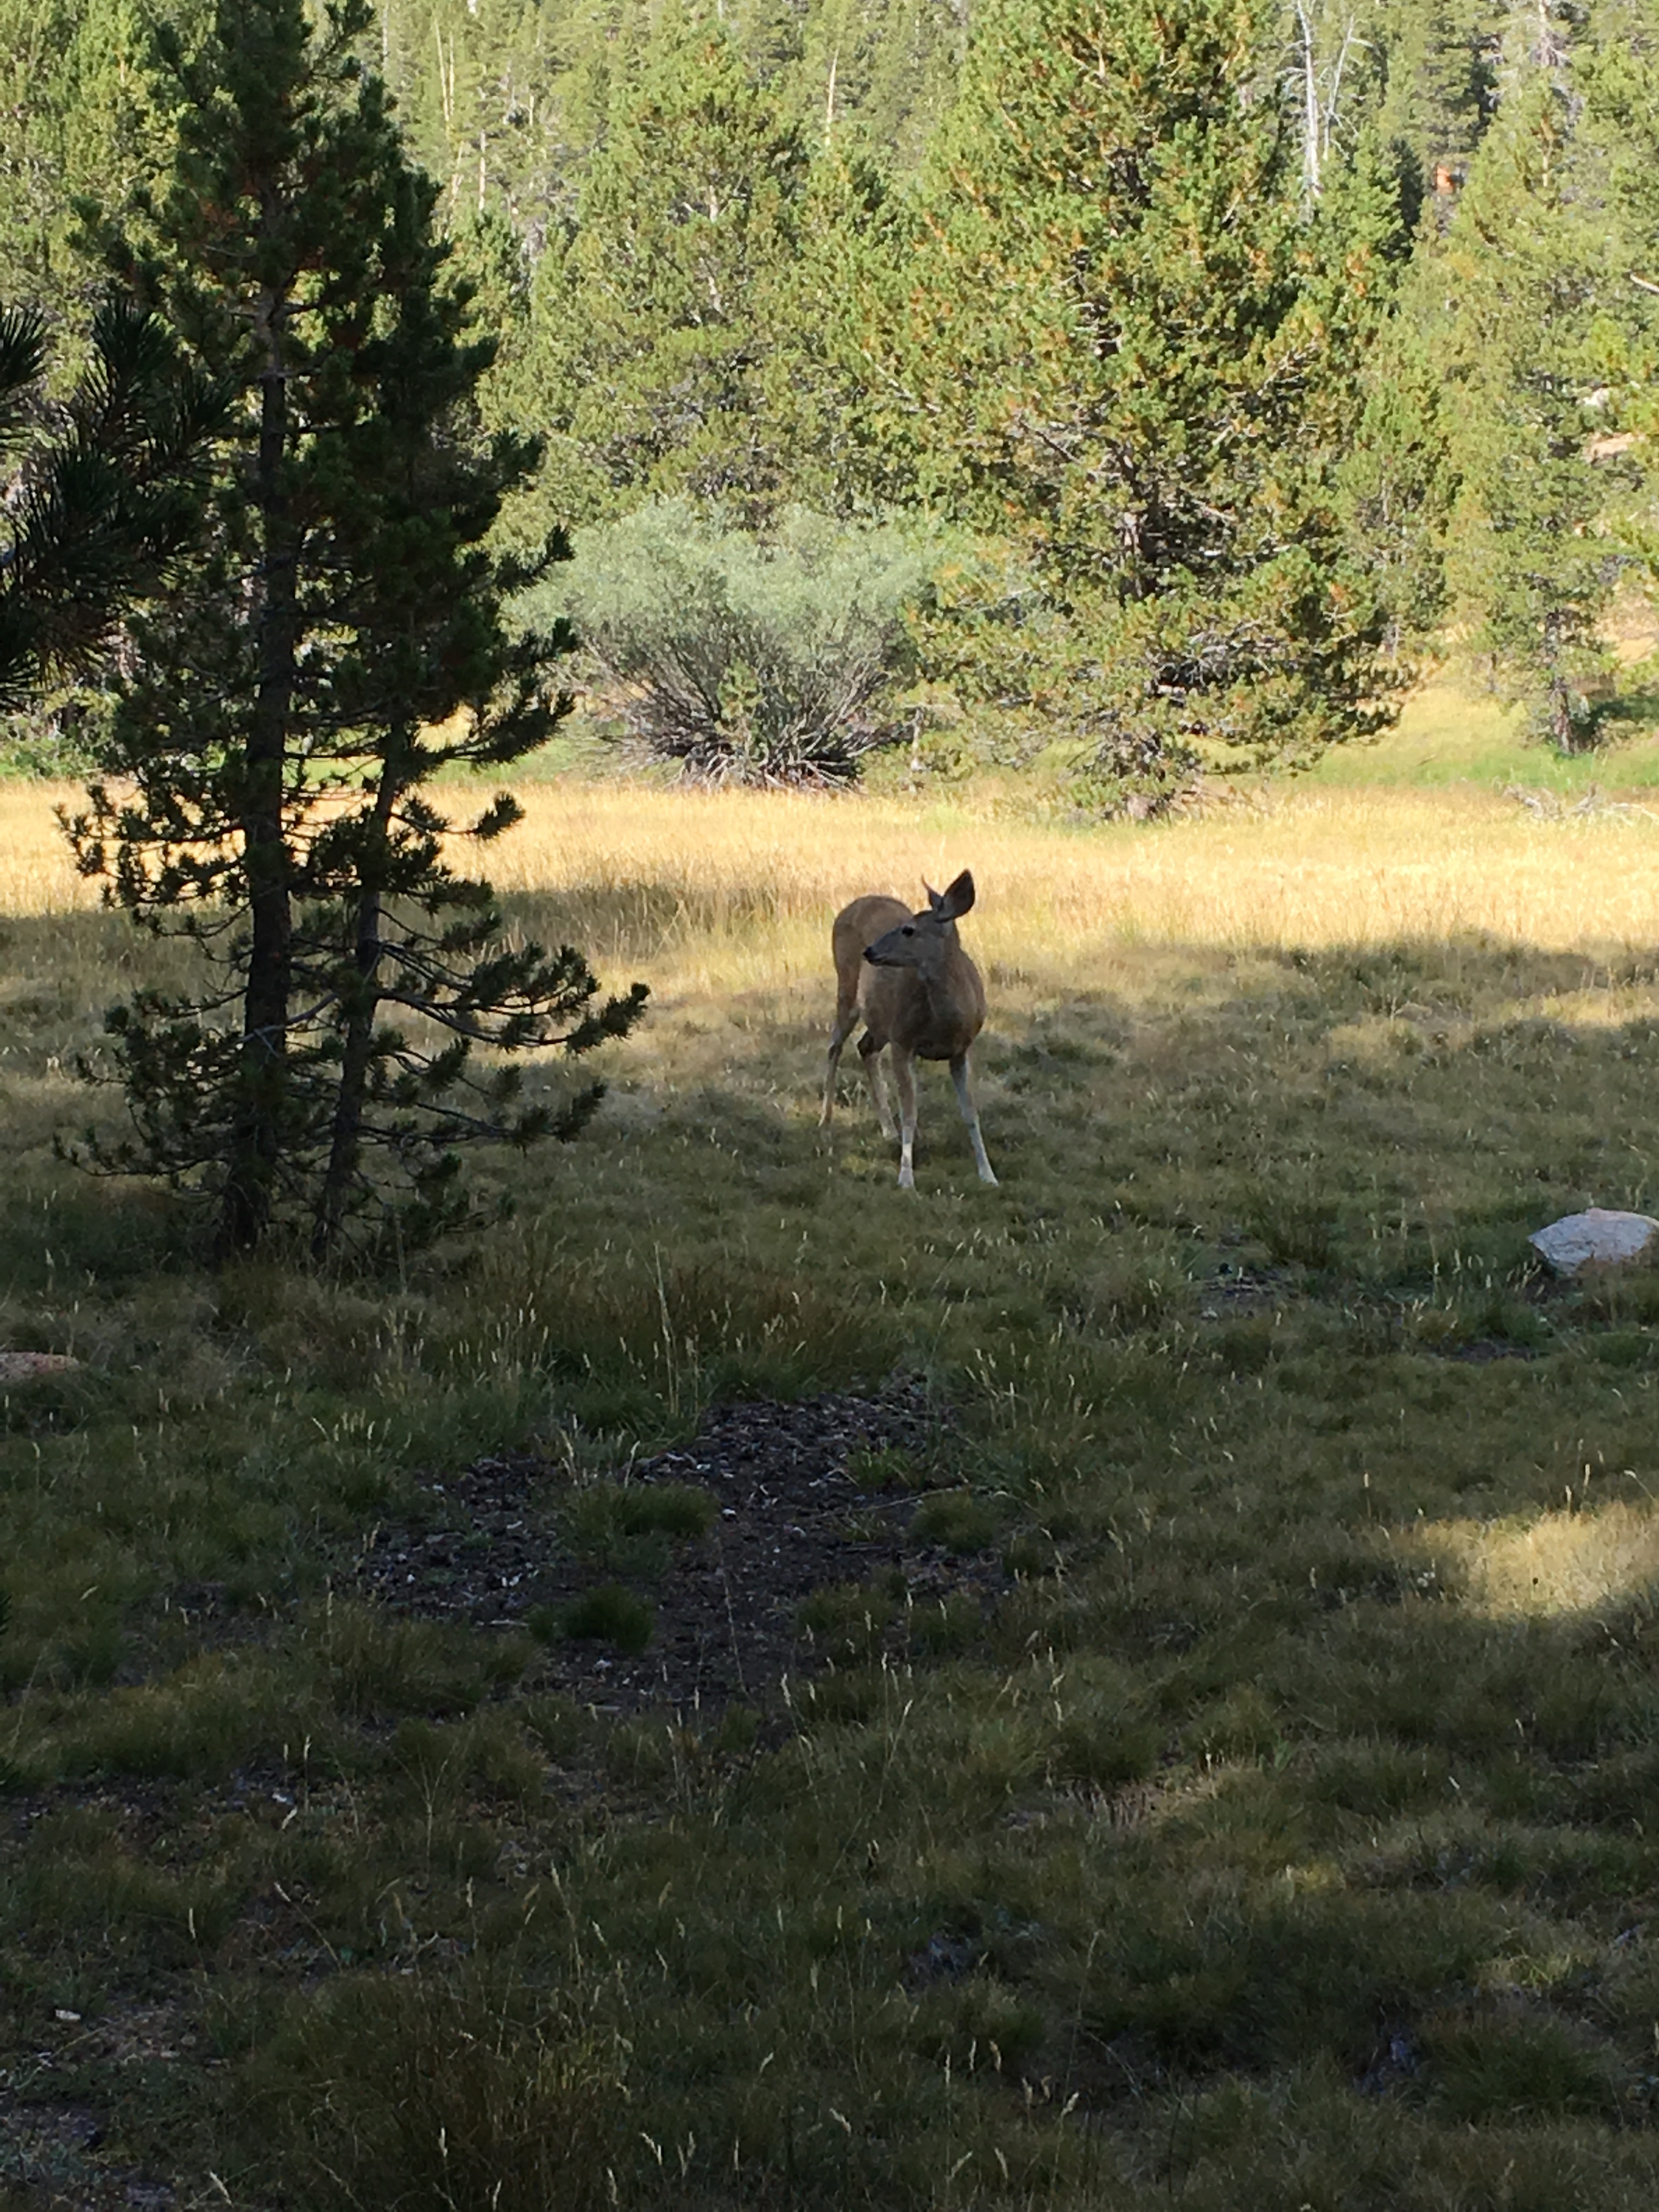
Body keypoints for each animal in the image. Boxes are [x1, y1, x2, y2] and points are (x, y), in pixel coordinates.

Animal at [820, 869, 997, 1189]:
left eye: (909, 930)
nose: (870, 951)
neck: (944, 1023)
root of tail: (852, 906)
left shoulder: (963, 1049)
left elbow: (970, 1113)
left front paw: (988, 1174)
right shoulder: (903, 1042)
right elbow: (910, 1112)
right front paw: (906, 1179)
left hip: (880, 1021)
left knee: (864, 1046)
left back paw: (888, 1130)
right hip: (848, 990)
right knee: (835, 1045)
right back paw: (825, 1124)